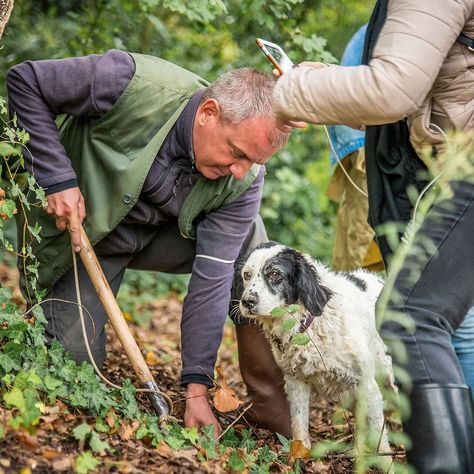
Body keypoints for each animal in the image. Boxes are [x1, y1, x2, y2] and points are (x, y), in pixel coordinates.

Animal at [237, 243, 396, 450]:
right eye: (247, 275)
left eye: (274, 273)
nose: (247, 301)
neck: (305, 325)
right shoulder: (295, 381)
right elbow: (299, 423)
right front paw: (298, 454)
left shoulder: (367, 383)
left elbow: (379, 432)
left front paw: (385, 458)